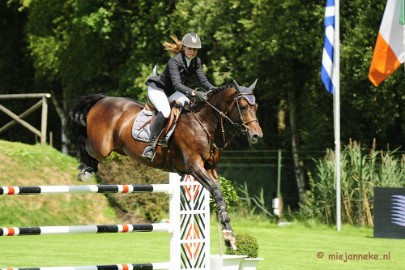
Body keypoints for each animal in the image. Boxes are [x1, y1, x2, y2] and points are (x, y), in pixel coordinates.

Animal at [65, 79, 262, 249]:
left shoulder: (210, 168)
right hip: (101, 147)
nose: (256, 135)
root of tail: (102, 100)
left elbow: (219, 194)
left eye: (256, 107)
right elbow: (217, 192)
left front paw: (230, 235)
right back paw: (85, 170)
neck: (203, 122)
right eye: (243, 107)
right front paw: (229, 236)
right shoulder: (194, 167)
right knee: (84, 143)